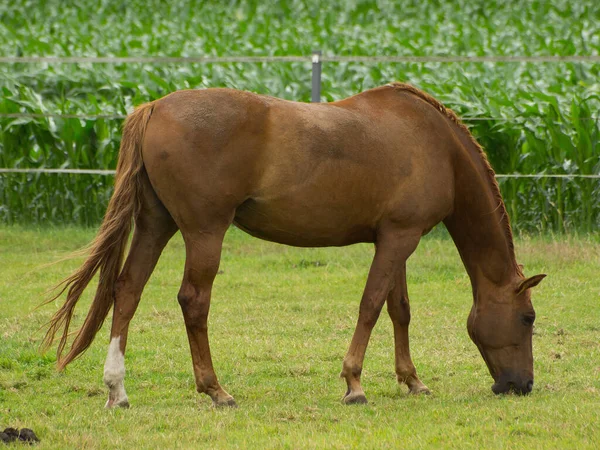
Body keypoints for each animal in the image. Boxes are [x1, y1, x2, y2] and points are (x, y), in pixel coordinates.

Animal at [44, 81, 548, 408]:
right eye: (528, 318)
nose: (521, 385)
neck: (435, 146)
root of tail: (153, 107)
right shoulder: (398, 239)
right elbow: (370, 306)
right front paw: (354, 384)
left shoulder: (396, 239)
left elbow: (398, 309)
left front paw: (412, 382)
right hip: (204, 233)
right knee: (193, 301)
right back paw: (215, 390)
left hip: (155, 225)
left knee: (126, 291)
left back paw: (117, 390)